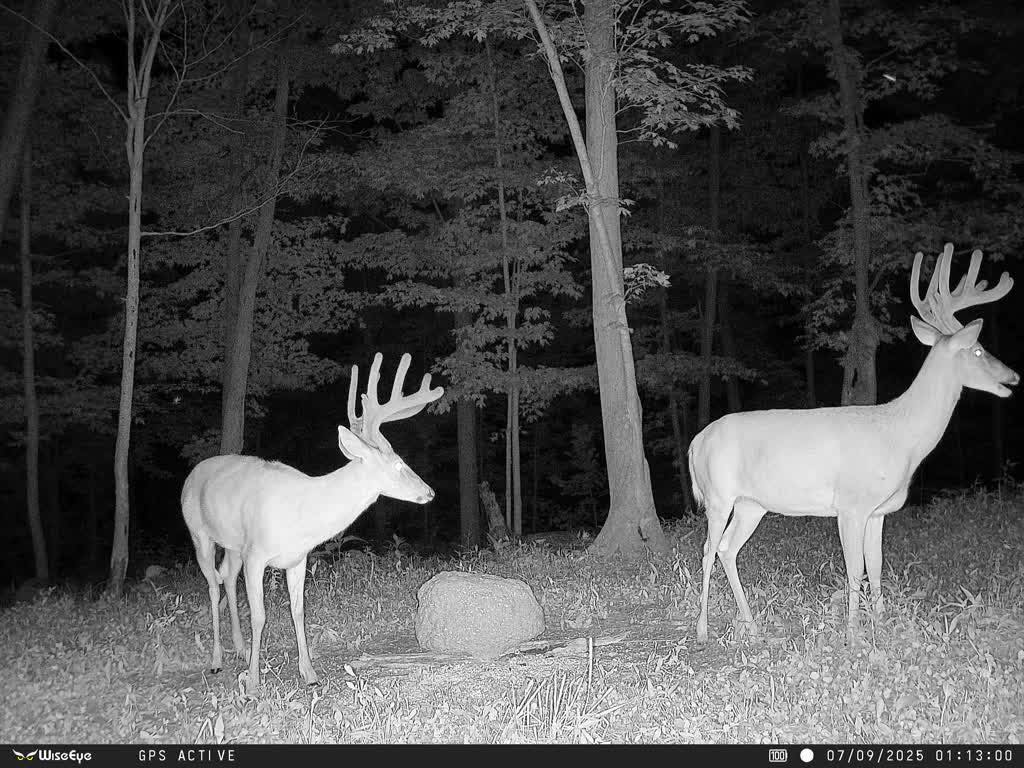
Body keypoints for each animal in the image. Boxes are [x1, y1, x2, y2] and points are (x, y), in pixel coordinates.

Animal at [181, 352, 443, 694]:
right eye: (399, 464)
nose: (429, 491)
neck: (303, 514)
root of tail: (191, 474)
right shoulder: (256, 555)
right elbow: (259, 615)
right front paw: (252, 685)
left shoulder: (297, 558)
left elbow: (298, 610)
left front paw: (309, 673)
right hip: (199, 531)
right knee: (212, 585)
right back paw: (217, 660)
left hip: (234, 545)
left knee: (226, 576)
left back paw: (240, 648)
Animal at [688, 243, 1018, 643]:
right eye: (979, 350)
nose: (1013, 376)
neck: (901, 435)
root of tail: (694, 442)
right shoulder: (851, 505)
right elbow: (854, 570)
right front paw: (853, 634)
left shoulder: (878, 511)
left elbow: (875, 567)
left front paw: (880, 624)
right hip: (718, 495)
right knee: (707, 550)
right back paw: (702, 629)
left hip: (752, 504)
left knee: (727, 548)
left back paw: (751, 626)